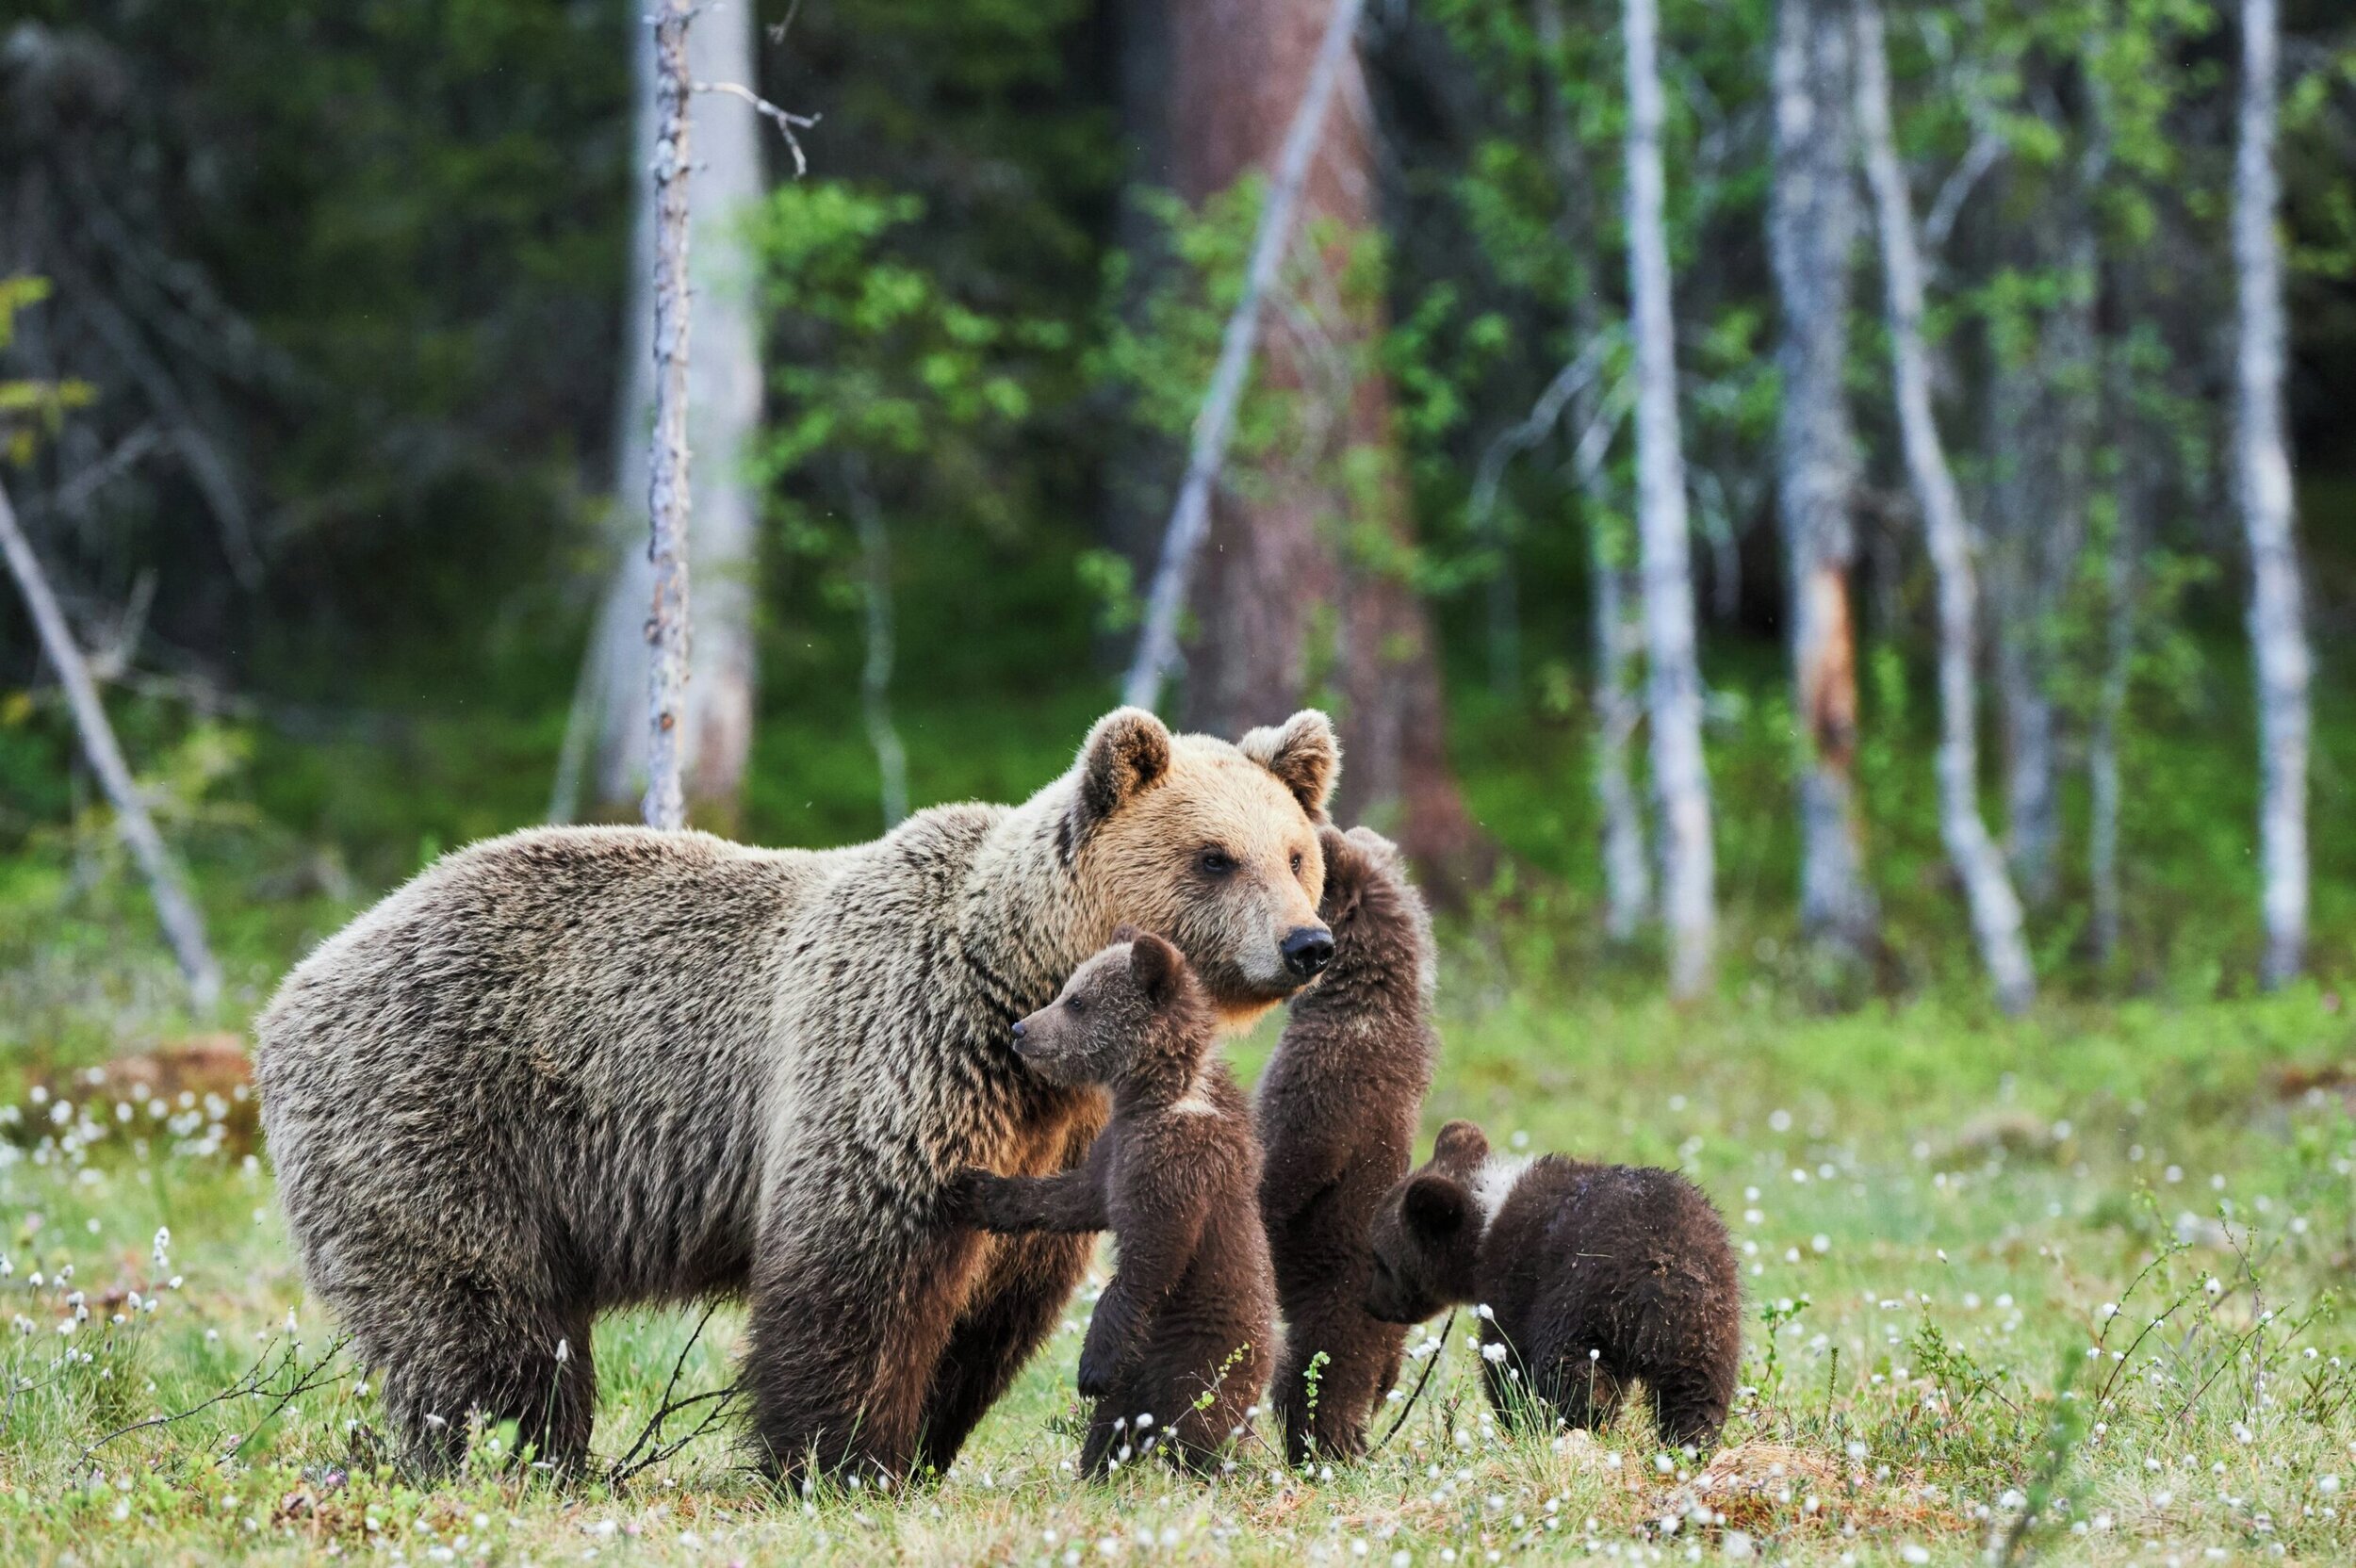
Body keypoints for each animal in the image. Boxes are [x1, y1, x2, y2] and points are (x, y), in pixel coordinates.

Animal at [253, 706, 1348, 1478]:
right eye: (1214, 856)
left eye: (1298, 852)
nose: (1307, 943)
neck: (1016, 990)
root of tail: (300, 979)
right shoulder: (899, 1047)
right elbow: (862, 1262)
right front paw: (838, 1459)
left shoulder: (1057, 1133)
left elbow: (998, 1300)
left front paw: (921, 1445)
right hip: (440, 1110)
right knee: (479, 1313)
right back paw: (519, 1454)